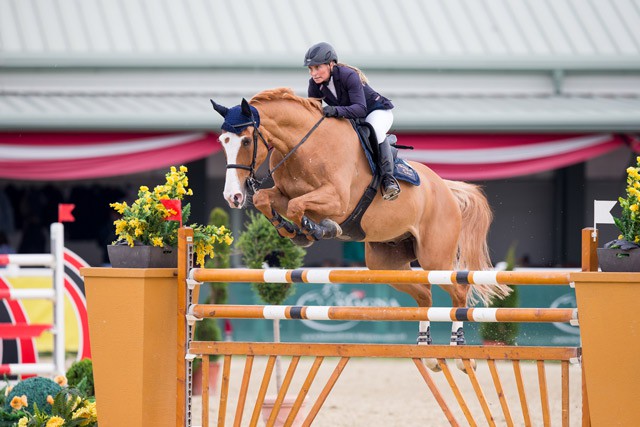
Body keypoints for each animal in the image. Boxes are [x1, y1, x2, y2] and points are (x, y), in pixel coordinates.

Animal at [210, 89, 510, 372]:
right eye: (223, 142)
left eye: (246, 141)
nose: (232, 197)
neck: (303, 147)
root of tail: (446, 188)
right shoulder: (283, 194)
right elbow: (268, 199)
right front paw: (291, 231)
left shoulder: (337, 201)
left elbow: (299, 206)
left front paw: (316, 229)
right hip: (386, 263)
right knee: (424, 294)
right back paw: (429, 355)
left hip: (435, 257)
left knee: (458, 291)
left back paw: (459, 355)